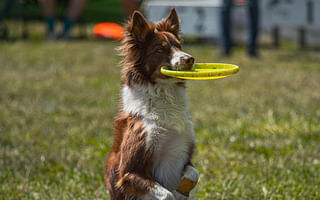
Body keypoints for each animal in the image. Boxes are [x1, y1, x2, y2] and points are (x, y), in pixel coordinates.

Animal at [105, 8, 198, 199]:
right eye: (160, 49)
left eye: (179, 46)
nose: (190, 59)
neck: (164, 96)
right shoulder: (129, 171)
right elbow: (166, 194)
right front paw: (174, 194)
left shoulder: (184, 154)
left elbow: (194, 174)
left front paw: (181, 191)